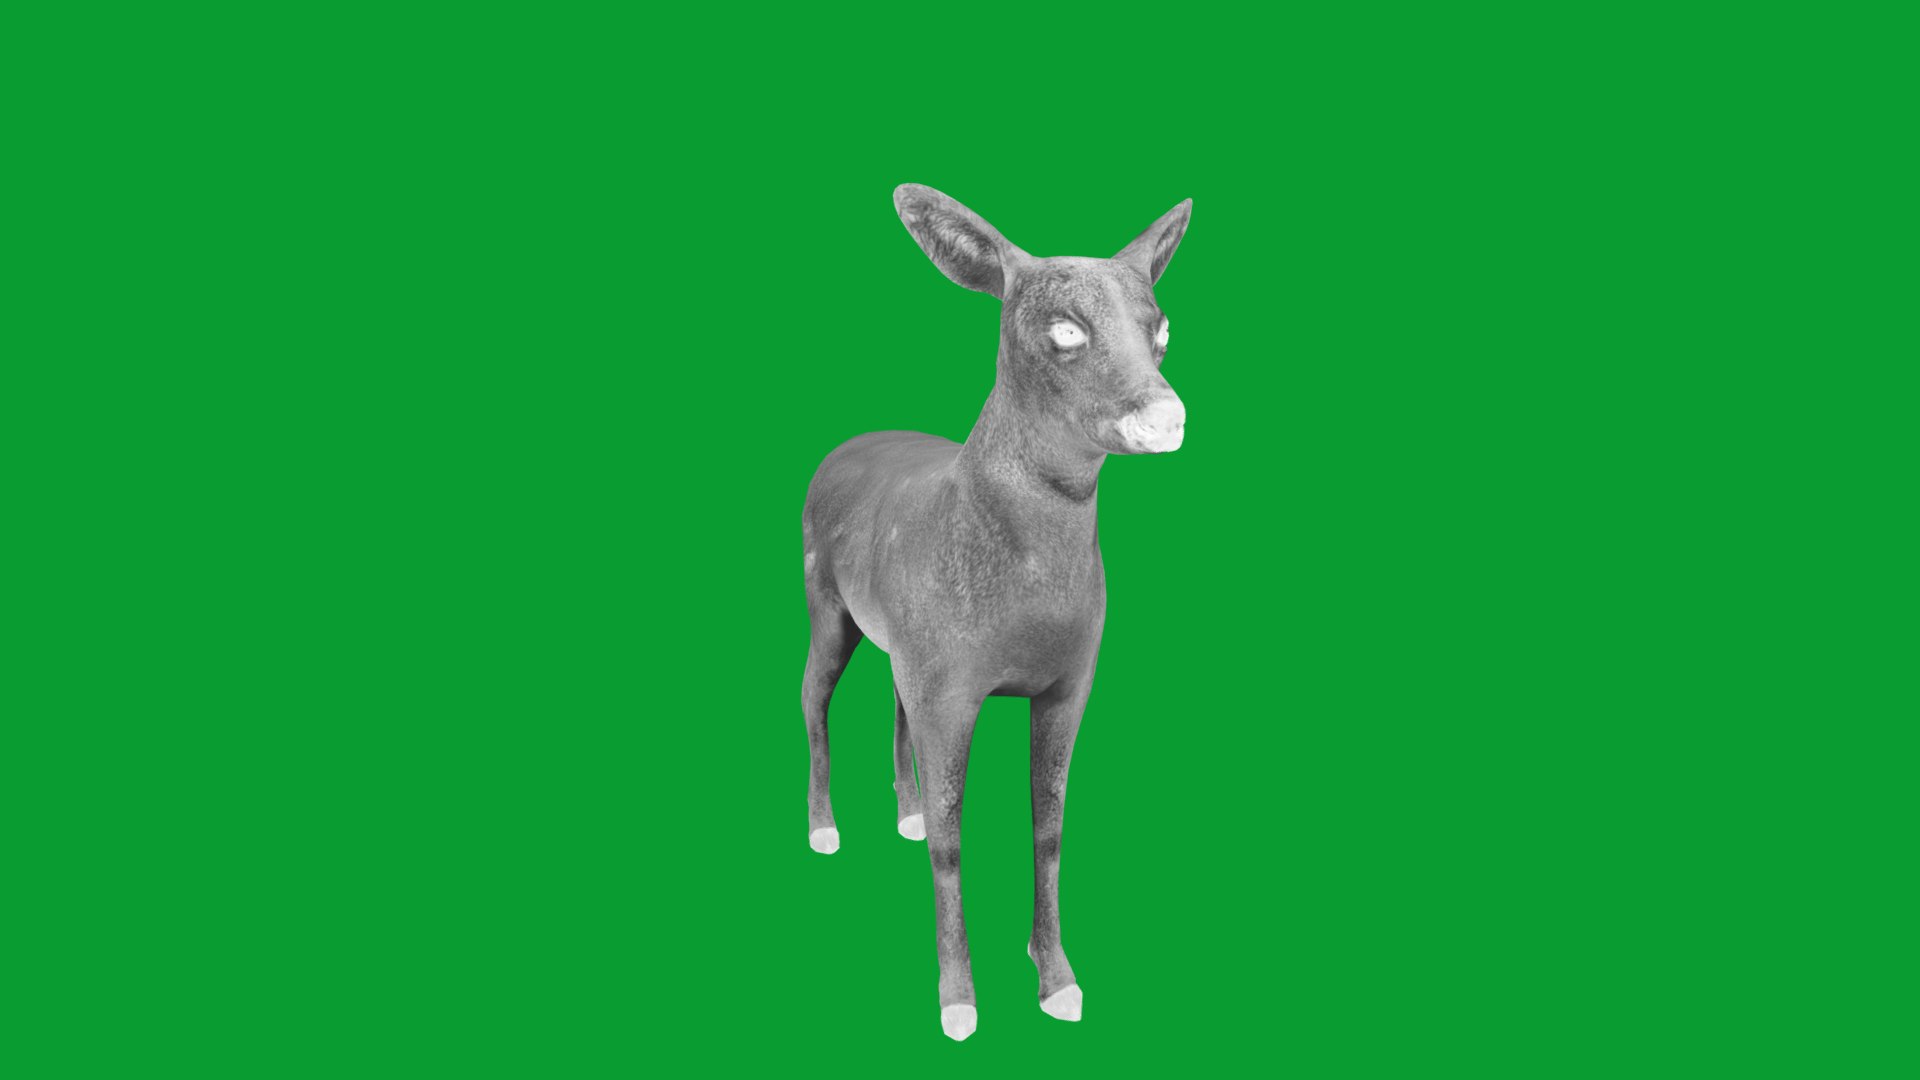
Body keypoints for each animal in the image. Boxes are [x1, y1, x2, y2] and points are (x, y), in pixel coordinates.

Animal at [800, 184, 1192, 1041]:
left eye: (1161, 329)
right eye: (1065, 328)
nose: (1165, 418)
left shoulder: (1067, 685)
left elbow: (1048, 827)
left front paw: (1058, 981)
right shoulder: (952, 688)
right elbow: (953, 843)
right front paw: (958, 1003)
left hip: (902, 645)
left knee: (892, 706)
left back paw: (904, 812)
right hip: (824, 605)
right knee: (811, 700)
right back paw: (823, 828)